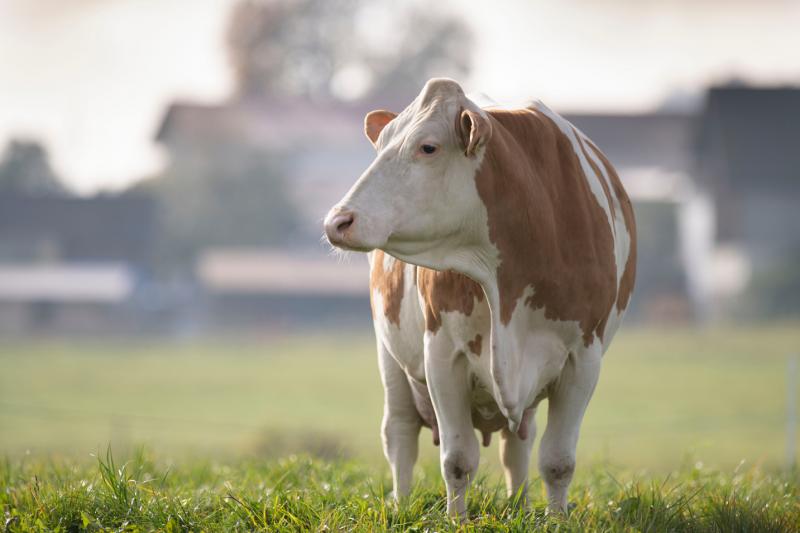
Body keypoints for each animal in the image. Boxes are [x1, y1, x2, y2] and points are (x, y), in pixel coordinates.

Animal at [322, 77, 636, 516]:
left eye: (428, 146)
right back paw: (401, 505)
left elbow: (558, 461)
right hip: (391, 358)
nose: (338, 220)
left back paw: (519, 505)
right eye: (381, 142)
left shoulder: (583, 358)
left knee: (518, 444)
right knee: (399, 435)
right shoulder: (442, 353)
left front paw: (556, 519)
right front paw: (457, 520)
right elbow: (457, 460)